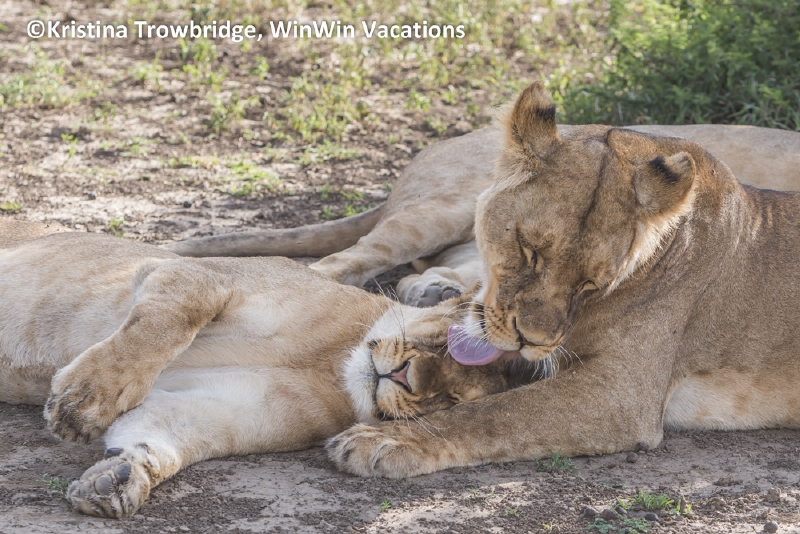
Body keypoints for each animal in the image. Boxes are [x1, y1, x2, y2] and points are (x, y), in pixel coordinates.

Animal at [0, 219, 522, 518]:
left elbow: (159, 435)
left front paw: (120, 478)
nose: (405, 380)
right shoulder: (198, 275)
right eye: (452, 344)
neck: (330, 362)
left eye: (450, 401)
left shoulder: (219, 407)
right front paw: (82, 403)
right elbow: (163, 326)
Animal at [325, 83, 800, 478]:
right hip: (440, 207)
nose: (530, 342)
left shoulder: (621, 394)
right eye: (528, 250)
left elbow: (496, 415)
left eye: (590, 283)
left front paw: (383, 441)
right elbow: (500, 412)